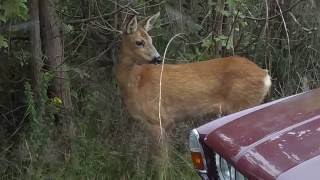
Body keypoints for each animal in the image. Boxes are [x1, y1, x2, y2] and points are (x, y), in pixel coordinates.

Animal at [116, 12, 272, 152]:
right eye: (139, 42)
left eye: (151, 40)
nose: (158, 58)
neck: (135, 84)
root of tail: (265, 75)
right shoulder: (168, 122)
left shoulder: (157, 118)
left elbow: (161, 161)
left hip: (242, 105)